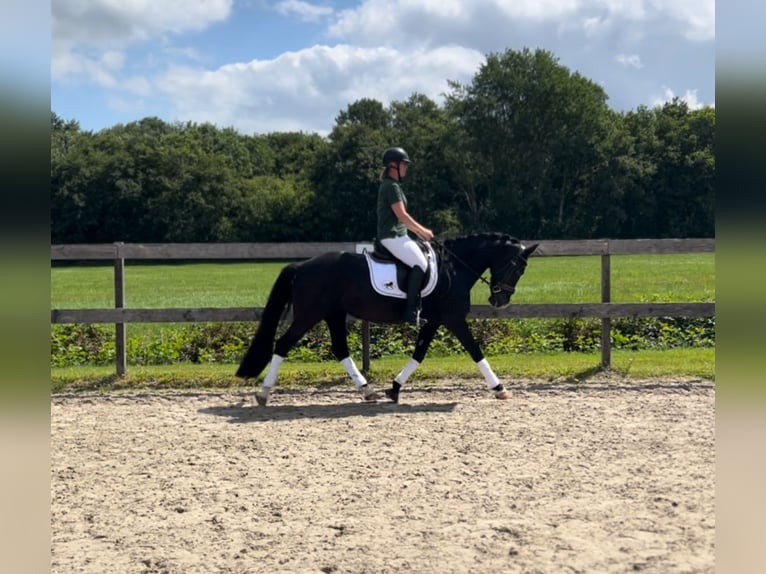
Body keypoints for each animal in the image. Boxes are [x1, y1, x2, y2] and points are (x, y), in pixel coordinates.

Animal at [238, 233, 540, 404]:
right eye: (518, 267)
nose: (500, 302)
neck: (455, 268)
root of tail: (301, 266)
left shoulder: (433, 321)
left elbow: (418, 355)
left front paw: (394, 389)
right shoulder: (453, 319)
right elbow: (475, 351)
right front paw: (500, 388)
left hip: (334, 315)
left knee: (340, 350)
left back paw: (367, 392)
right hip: (309, 315)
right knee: (282, 345)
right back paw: (263, 394)